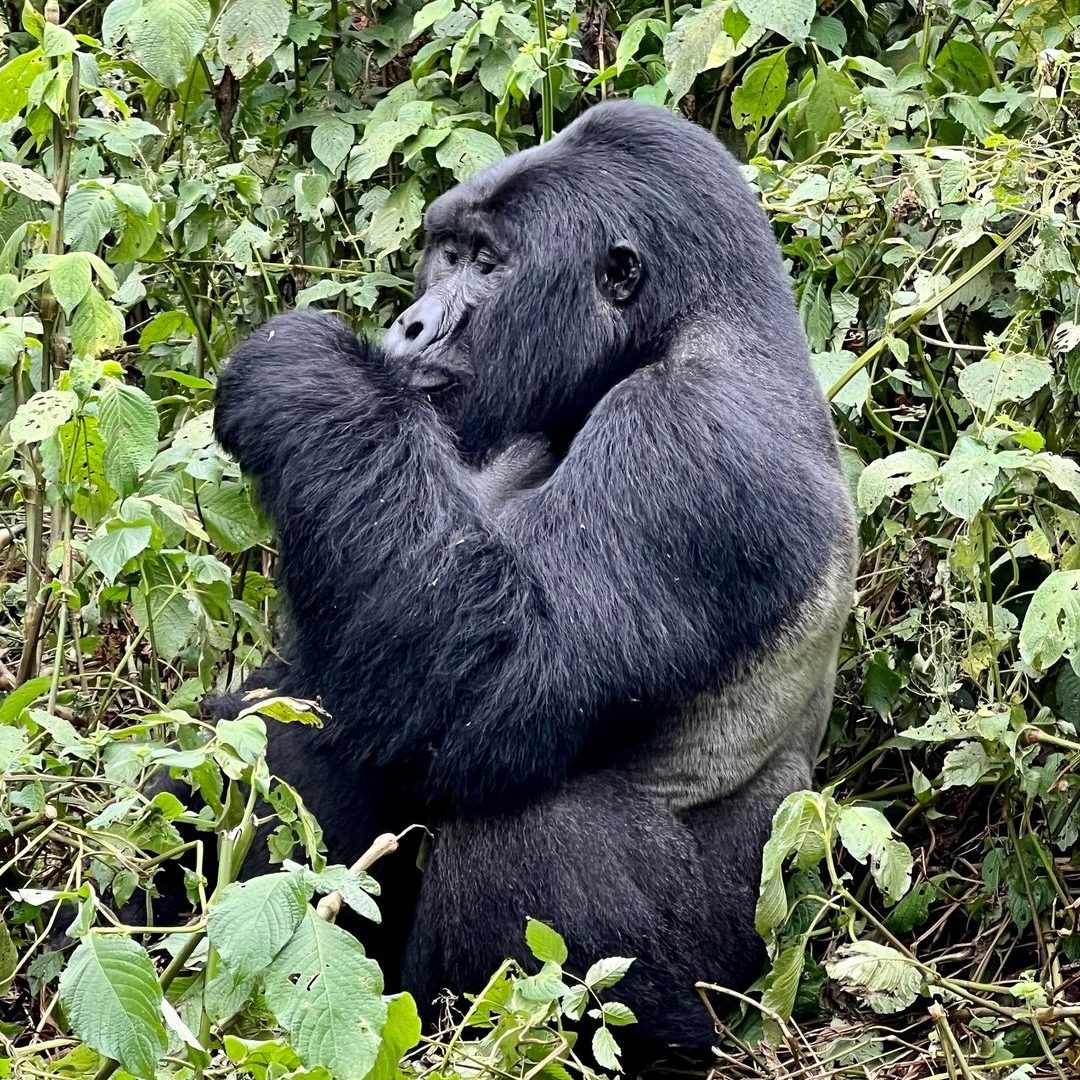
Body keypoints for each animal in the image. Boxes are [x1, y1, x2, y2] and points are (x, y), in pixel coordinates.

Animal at [210, 99, 855, 1054]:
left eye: (487, 263)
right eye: (445, 252)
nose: (412, 325)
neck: (691, 323)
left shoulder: (691, 437)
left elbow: (494, 677)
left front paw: (304, 374)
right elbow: (355, 663)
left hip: (735, 976)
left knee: (535, 829)